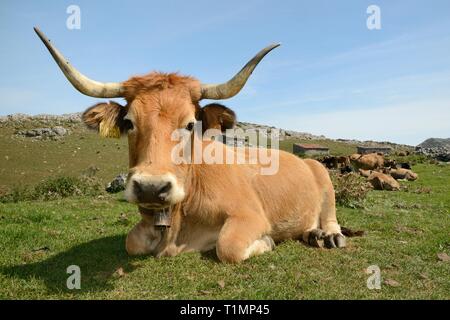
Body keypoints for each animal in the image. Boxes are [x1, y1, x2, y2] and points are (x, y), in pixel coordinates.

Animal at [36, 27, 348, 262]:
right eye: (130, 122)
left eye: (189, 125)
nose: (151, 187)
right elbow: (131, 242)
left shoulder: (250, 215)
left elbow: (228, 247)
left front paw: (267, 242)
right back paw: (313, 234)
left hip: (324, 180)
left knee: (330, 217)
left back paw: (329, 235)